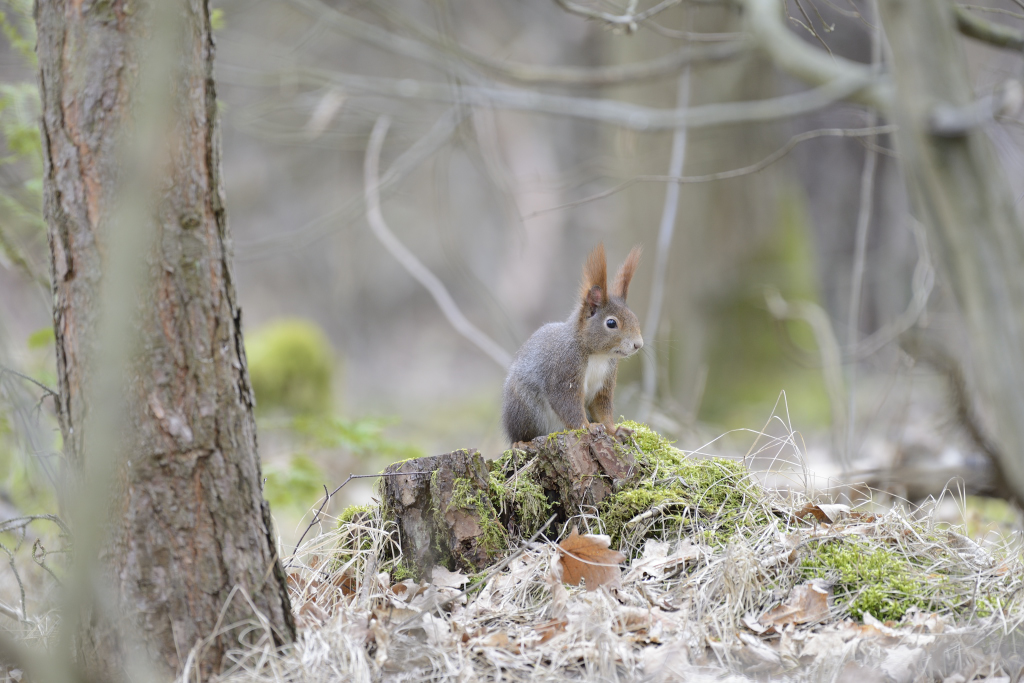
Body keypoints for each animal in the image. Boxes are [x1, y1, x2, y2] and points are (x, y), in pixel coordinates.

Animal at [501, 243, 643, 444]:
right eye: (611, 323)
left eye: (634, 318)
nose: (638, 344)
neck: (597, 355)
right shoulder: (565, 369)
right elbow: (568, 405)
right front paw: (587, 427)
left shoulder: (605, 382)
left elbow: (602, 409)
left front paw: (614, 431)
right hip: (523, 408)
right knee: (521, 434)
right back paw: (520, 443)